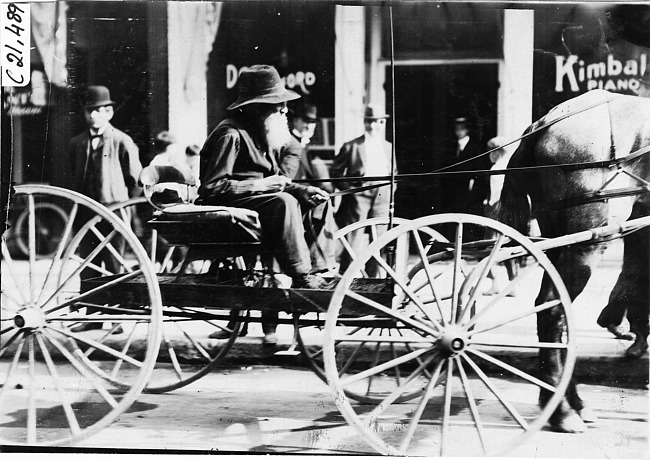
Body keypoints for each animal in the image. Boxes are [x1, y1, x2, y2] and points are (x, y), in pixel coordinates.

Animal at [494, 88, 644, 434]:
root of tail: (543, 122)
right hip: (586, 241)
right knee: (552, 311)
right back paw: (562, 411)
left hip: (559, 238)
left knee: (555, 309)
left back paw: (569, 401)